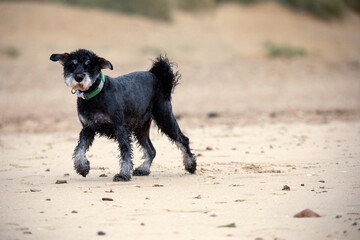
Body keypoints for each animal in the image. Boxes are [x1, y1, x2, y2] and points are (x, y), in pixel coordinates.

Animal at [50, 49, 197, 182]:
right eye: (72, 65)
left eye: (89, 65)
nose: (79, 77)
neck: (95, 95)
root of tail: (155, 75)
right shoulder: (88, 128)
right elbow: (79, 149)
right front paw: (82, 167)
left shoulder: (120, 128)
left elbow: (125, 152)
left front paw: (123, 174)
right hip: (140, 128)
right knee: (151, 150)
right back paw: (144, 169)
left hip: (164, 118)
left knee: (182, 139)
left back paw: (190, 164)